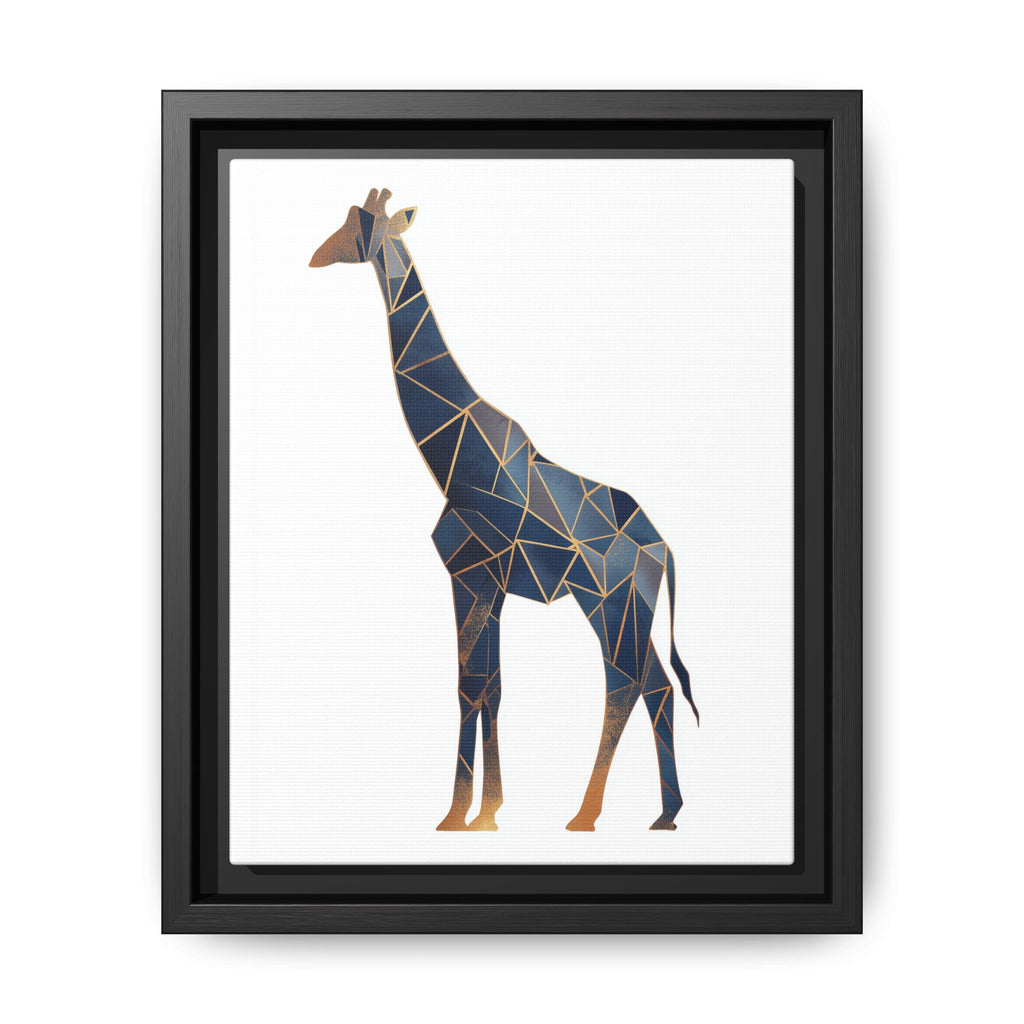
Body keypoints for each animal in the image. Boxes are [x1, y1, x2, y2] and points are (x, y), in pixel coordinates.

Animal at [310, 188, 698, 832]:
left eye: (358, 226)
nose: (317, 255)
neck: (452, 457)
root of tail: (662, 548)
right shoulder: (484, 583)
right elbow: (487, 686)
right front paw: (481, 812)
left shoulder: (472, 574)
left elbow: (472, 686)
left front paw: (463, 814)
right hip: (628, 607)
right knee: (657, 687)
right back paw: (665, 814)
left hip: (608, 601)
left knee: (624, 683)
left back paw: (586, 815)